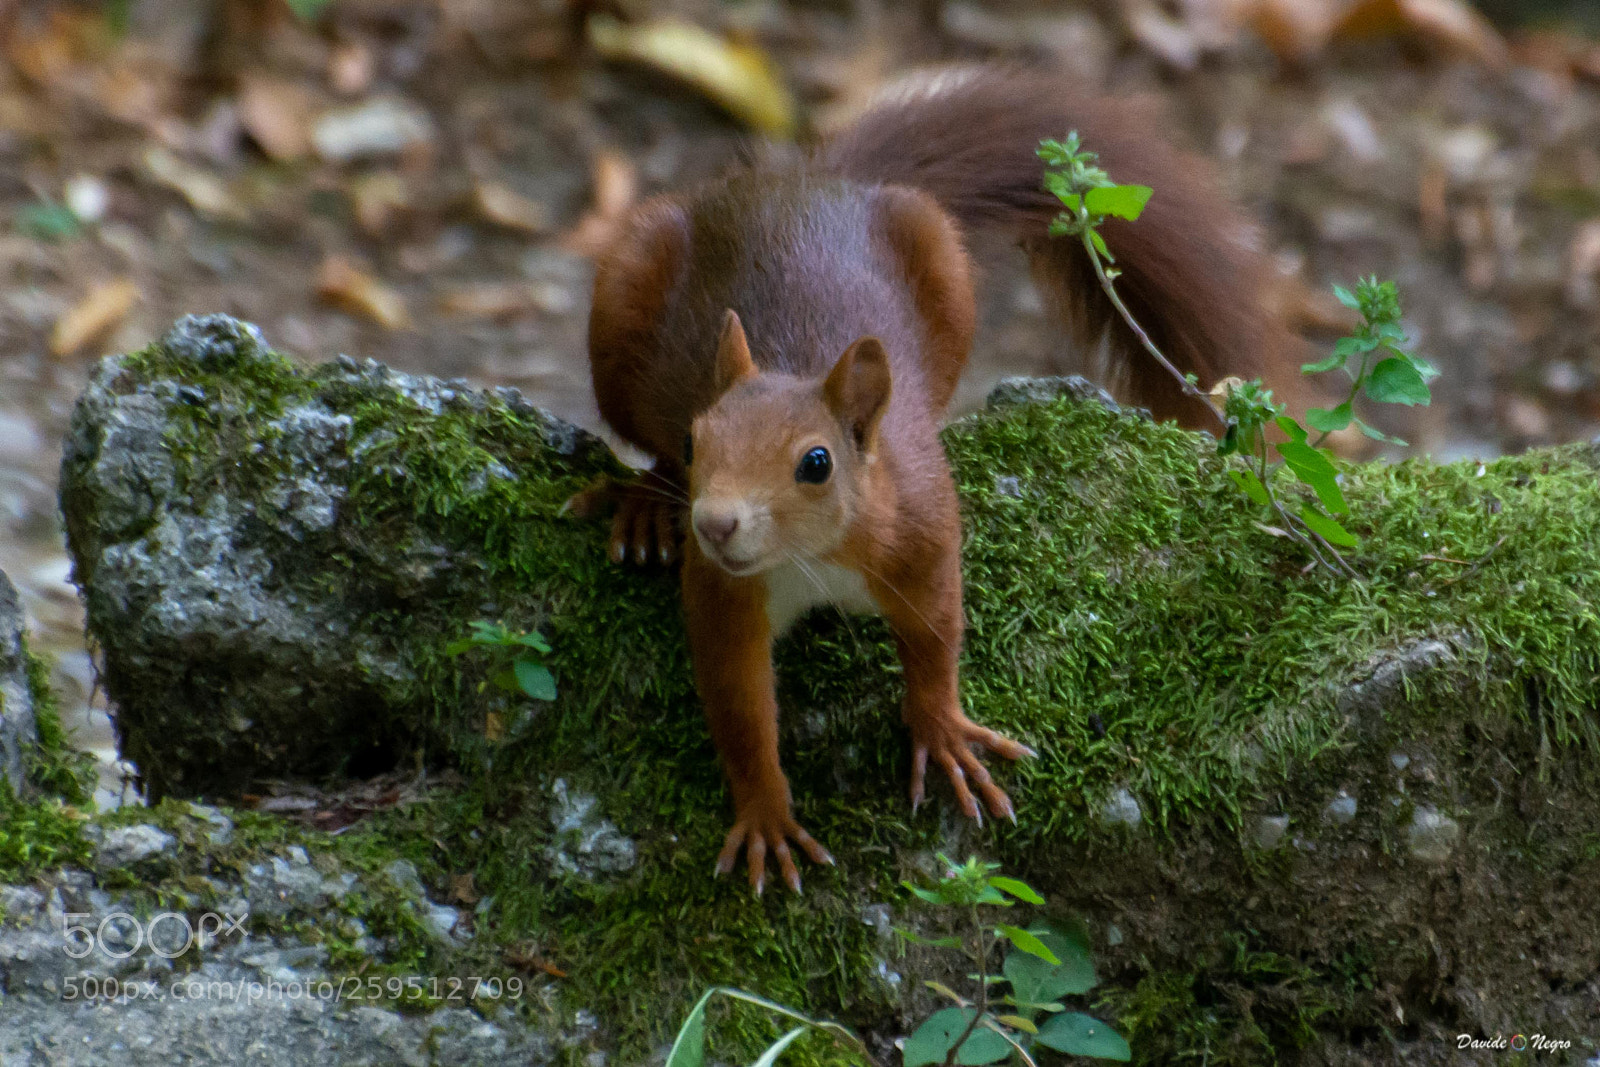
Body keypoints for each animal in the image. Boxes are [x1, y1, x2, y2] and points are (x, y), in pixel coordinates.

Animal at [572, 68, 1306, 893]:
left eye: (816, 463)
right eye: (699, 440)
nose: (715, 523)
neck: (813, 560)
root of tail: (814, 180)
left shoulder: (922, 535)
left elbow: (935, 635)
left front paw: (945, 733)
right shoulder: (724, 591)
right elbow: (738, 704)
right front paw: (765, 812)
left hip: (941, 258)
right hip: (626, 289)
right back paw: (644, 506)